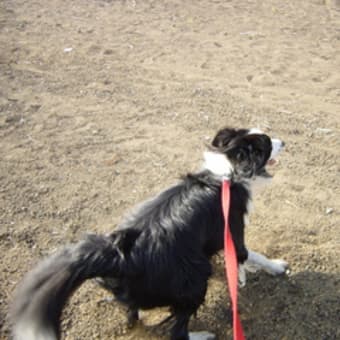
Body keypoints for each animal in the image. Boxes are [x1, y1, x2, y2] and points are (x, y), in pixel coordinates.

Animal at [9, 127, 286, 340]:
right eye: (267, 143)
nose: (285, 141)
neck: (228, 172)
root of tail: (121, 257)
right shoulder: (234, 229)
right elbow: (250, 255)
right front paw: (275, 267)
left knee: (135, 312)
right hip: (195, 278)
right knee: (177, 331)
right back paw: (202, 335)